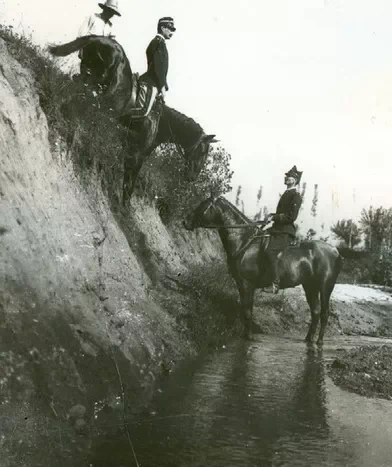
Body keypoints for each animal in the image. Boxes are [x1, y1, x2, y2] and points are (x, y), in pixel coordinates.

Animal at [48, 35, 217, 204]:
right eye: (203, 151)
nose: (192, 177)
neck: (159, 122)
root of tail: (99, 38)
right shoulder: (137, 154)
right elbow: (129, 183)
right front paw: (124, 206)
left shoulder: (130, 149)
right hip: (96, 80)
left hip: (88, 76)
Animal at [182, 196, 342, 346]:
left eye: (203, 205)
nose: (185, 222)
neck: (244, 241)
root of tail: (335, 251)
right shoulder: (241, 284)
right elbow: (244, 308)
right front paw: (245, 334)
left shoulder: (246, 283)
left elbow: (247, 310)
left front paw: (249, 337)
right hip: (310, 286)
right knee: (315, 312)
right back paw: (308, 339)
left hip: (325, 287)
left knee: (324, 313)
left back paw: (319, 341)